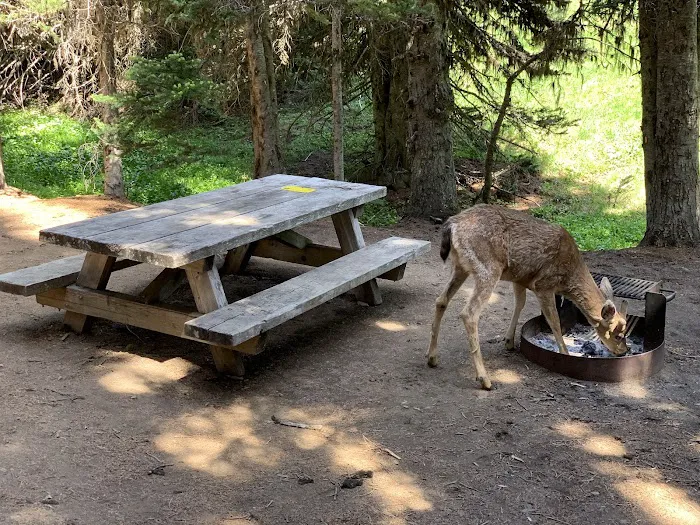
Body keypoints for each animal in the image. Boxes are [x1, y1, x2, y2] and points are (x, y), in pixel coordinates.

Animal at [426, 204, 629, 390]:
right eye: (618, 335)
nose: (625, 351)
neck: (568, 277)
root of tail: (452, 225)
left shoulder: (520, 278)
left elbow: (520, 304)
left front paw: (509, 341)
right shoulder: (544, 284)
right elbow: (554, 321)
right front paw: (565, 353)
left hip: (461, 267)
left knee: (441, 300)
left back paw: (432, 358)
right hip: (488, 268)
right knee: (469, 313)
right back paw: (484, 379)